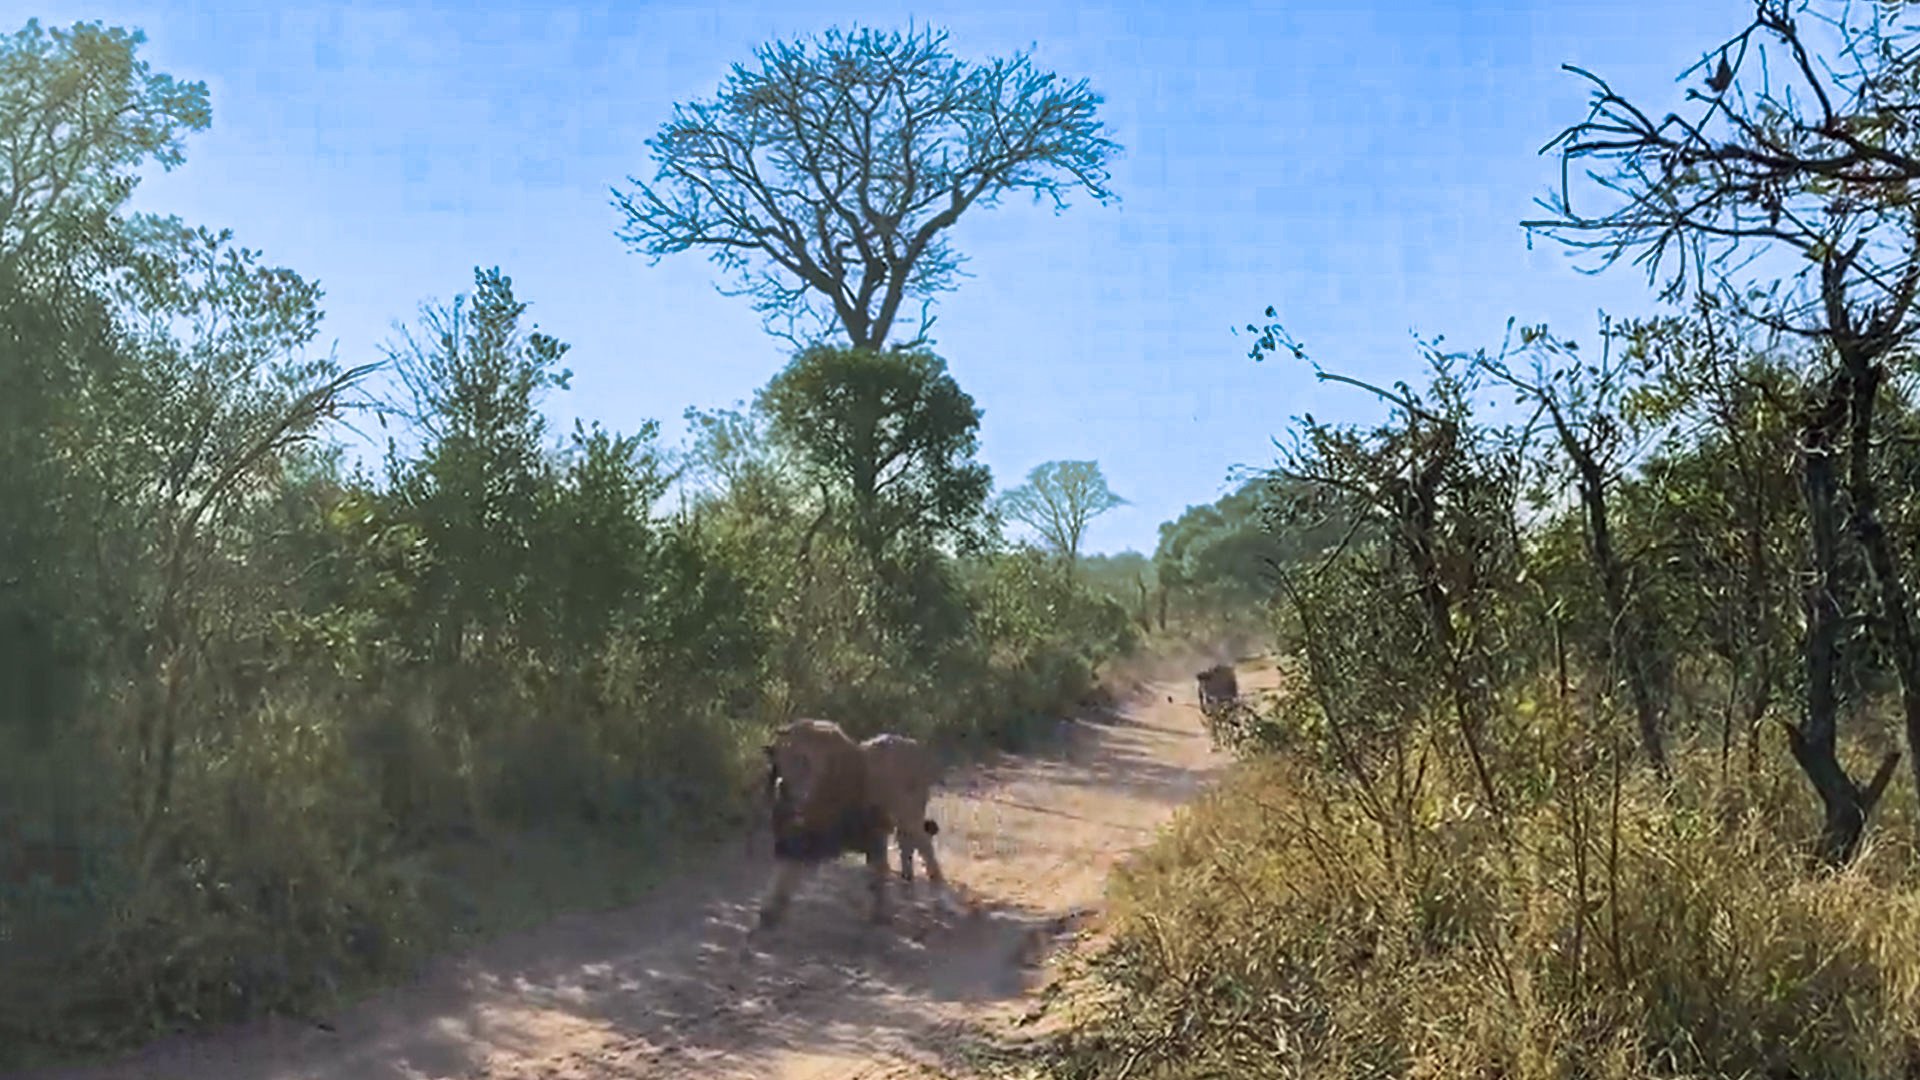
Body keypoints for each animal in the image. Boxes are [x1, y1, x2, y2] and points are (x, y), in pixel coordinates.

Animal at [755, 717, 959, 929]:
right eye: (779, 759)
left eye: (804, 760)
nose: (784, 789)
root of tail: (911, 743)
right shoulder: (797, 839)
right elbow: (782, 876)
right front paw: (769, 912)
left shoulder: (875, 833)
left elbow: (880, 873)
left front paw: (880, 914)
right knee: (908, 846)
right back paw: (907, 878)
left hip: (910, 817)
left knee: (926, 850)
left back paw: (941, 900)